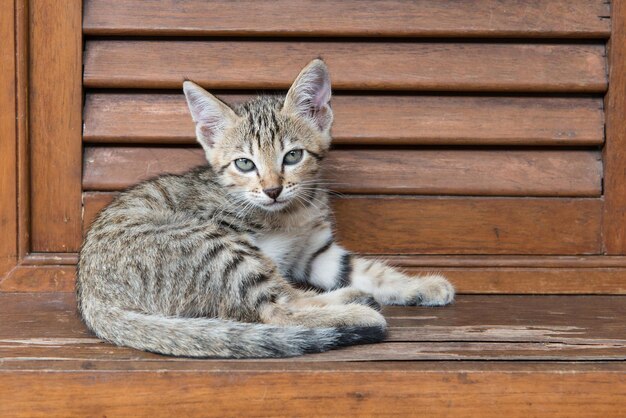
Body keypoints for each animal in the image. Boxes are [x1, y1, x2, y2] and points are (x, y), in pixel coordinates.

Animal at [77, 58, 454, 358]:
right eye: (244, 163)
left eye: (293, 156)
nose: (273, 189)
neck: (290, 214)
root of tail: (92, 297)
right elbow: (280, 302)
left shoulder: (315, 251)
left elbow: (368, 270)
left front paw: (419, 285)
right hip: (217, 247)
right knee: (276, 309)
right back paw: (359, 311)